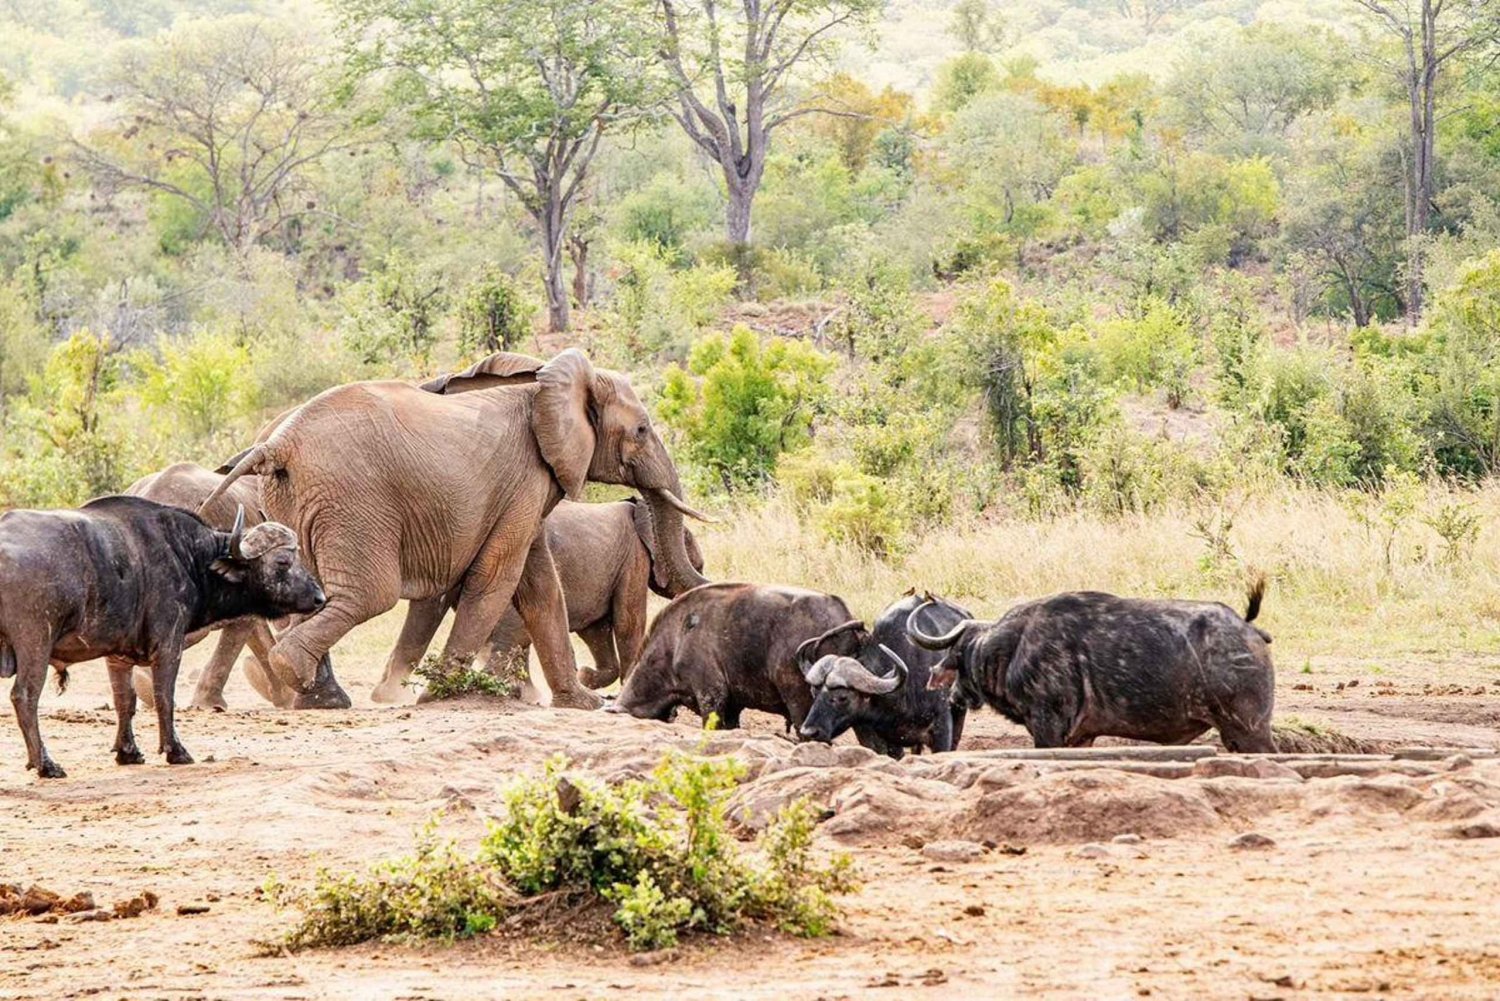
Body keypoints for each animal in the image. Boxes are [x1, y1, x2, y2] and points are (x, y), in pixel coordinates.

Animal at [0, 498, 327, 780]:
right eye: (283, 561)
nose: (319, 597)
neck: (187, 556)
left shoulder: (117, 655)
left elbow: (125, 700)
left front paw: (128, 752)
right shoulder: (169, 645)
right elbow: (163, 697)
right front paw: (176, 750)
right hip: (35, 643)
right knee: (24, 697)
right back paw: (46, 764)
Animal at [906, 579, 1272, 750]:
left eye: (956, 654)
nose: (953, 697)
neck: (1013, 648)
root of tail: (1249, 630)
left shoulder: (1049, 729)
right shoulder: (1081, 738)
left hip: (1249, 730)